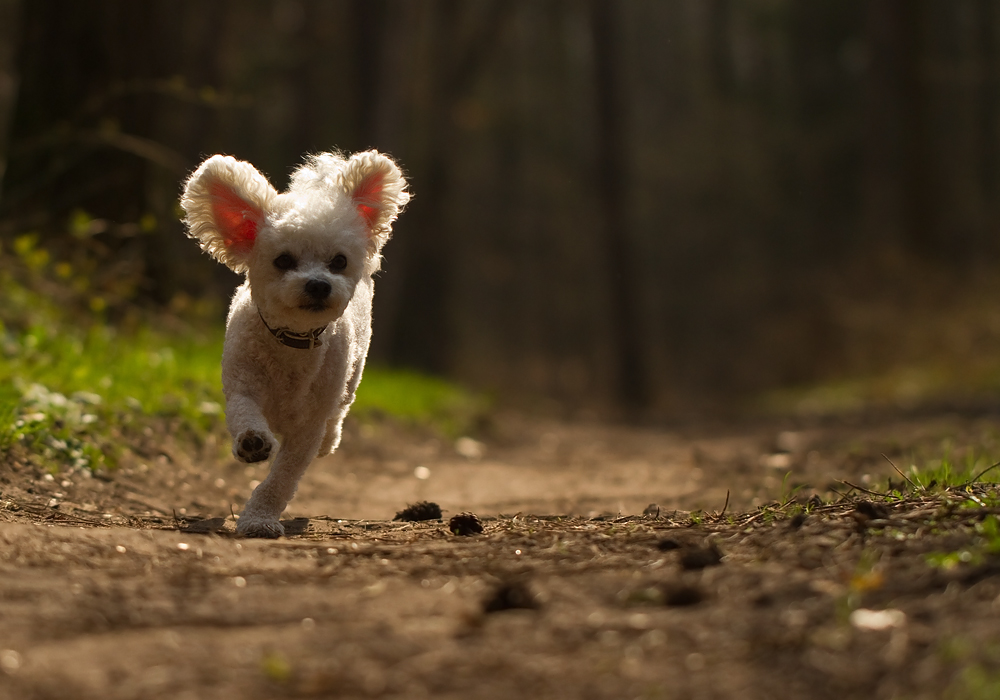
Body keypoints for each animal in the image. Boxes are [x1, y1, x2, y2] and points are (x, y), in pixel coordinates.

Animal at [182, 150, 408, 540]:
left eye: (339, 261)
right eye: (283, 260)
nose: (318, 284)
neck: (292, 342)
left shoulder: (308, 426)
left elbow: (284, 476)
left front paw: (259, 518)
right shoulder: (242, 385)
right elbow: (244, 414)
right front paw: (252, 443)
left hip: (351, 377)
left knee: (339, 412)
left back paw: (331, 439)